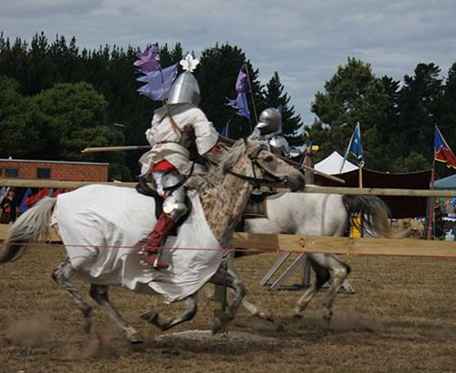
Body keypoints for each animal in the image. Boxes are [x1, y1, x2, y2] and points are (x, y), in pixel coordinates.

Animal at [0, 140, 306, 342]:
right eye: (268, 158)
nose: (299, 177)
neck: (211, 208)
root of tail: (60, 198)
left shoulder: (211, 269)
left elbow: (239, 288)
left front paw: (221, 321)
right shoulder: (187, 270)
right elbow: (192, 307)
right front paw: (159, 319)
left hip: (104, 261)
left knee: (98, 293)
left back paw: (129, 332)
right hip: (86, 253)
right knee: (61, 276)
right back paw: (87, 317)